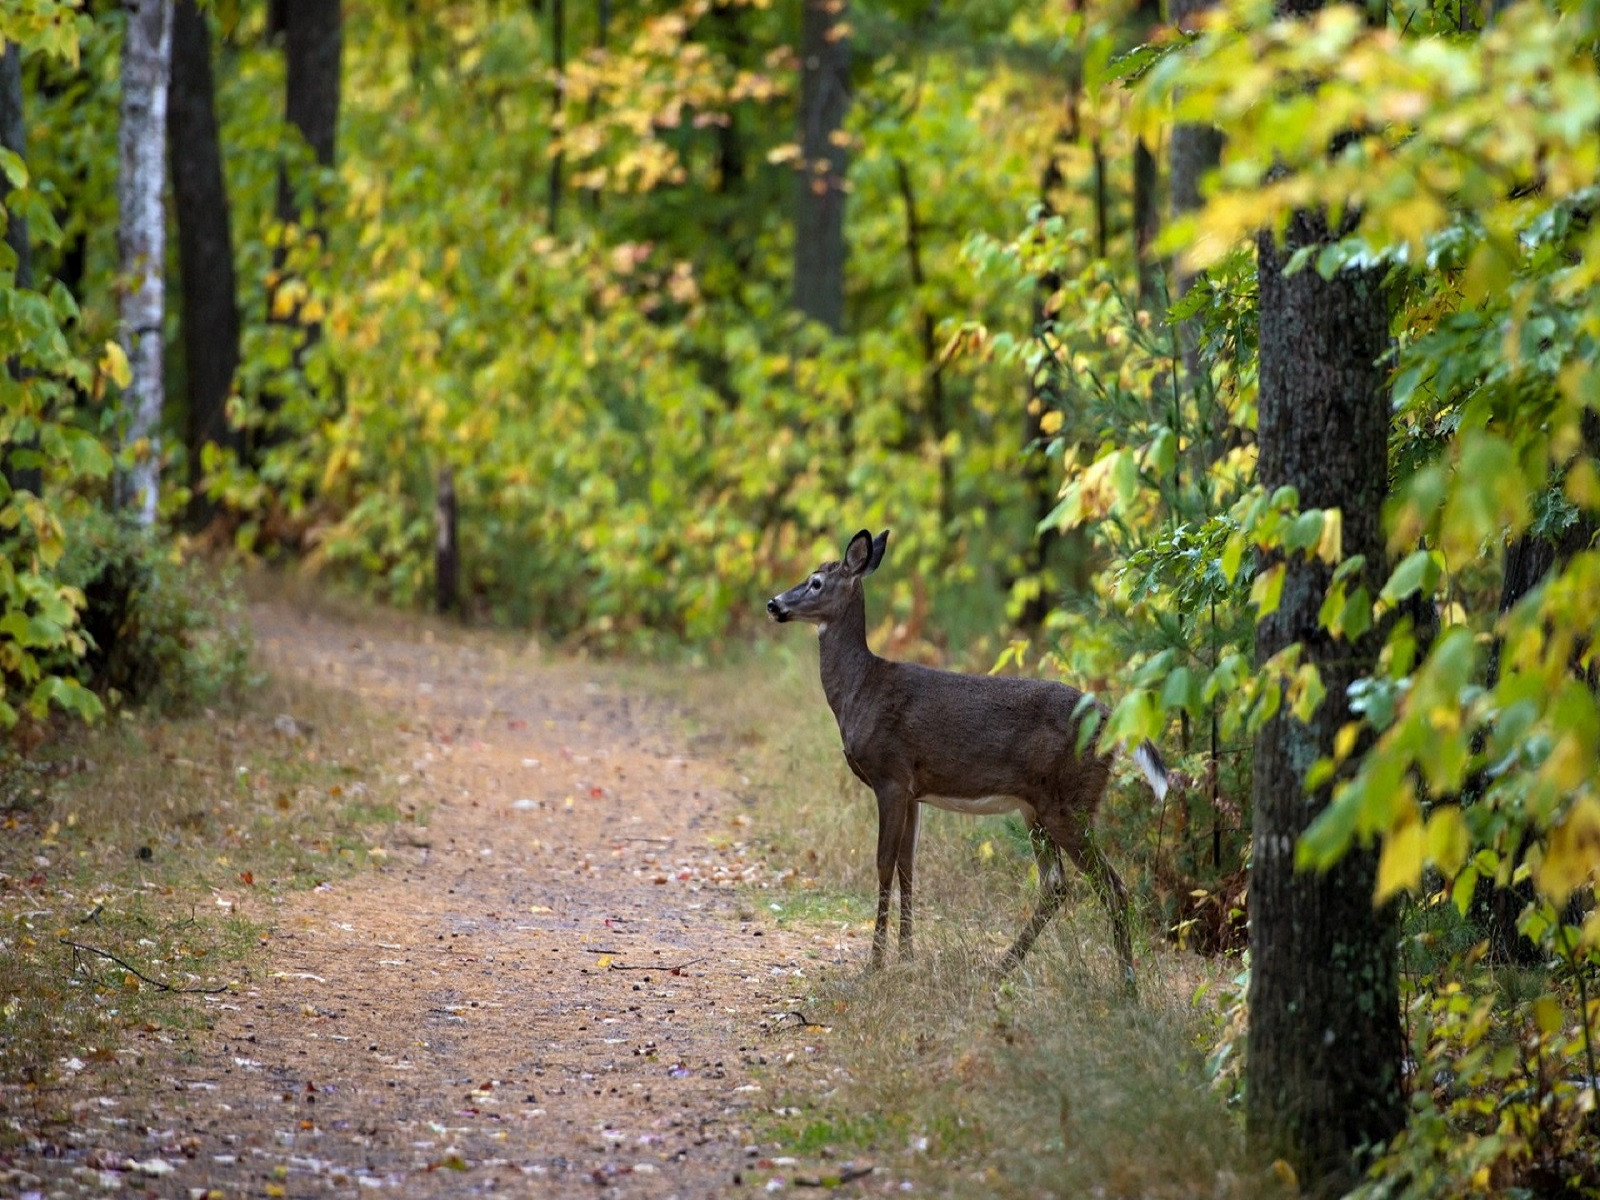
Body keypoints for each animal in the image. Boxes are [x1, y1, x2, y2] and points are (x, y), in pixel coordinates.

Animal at [768, 531, 1171, 979]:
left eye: (816, 582)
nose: (774, 603)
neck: (860, 692)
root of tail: (1110, 716)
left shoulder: (890, 774)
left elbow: (883, 864)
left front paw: (874, 964)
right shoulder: (914, 790)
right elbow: (908, 866)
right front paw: (906, 957)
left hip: (1071, 800)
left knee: (1112, 886)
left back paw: (1125, 984)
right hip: (1038, 805)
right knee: (1056, 884)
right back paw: (1002, 969)